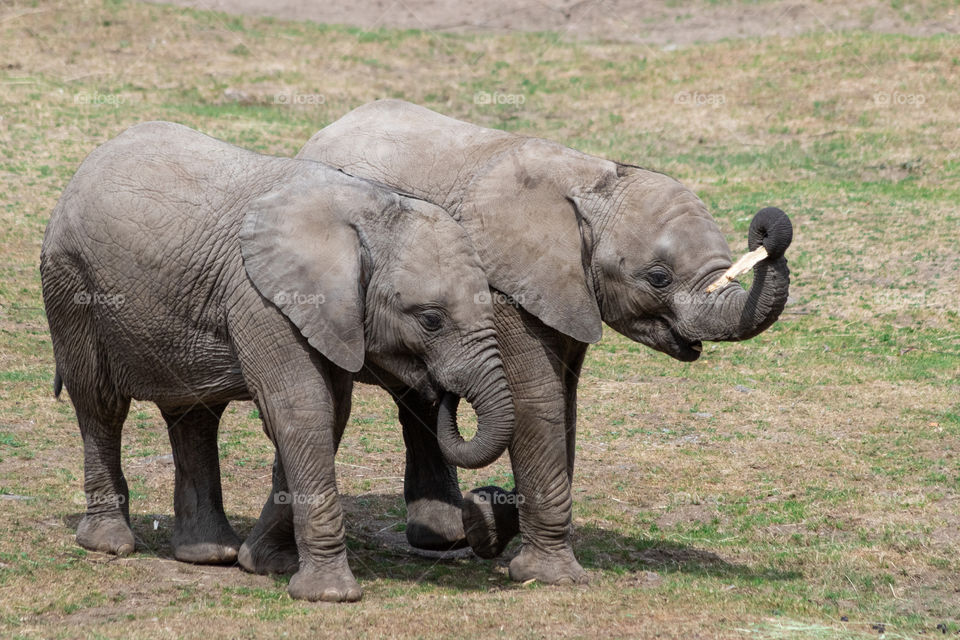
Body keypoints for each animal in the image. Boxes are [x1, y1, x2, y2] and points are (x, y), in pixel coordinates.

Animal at [40, 121, 515, 602]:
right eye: (431, 320)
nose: (441, 389)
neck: (368, 211)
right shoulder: (263, 298)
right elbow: (301, 409)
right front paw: (329, 595)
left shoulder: (328, 316)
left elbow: (329, 414)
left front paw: (264, 564)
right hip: (71, 285)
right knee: (100, 405)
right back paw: (110, 543)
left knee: (194, 416)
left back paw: (209, 554)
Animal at [240, 100, 794, 585]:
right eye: (658, 277)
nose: (767, 227)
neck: (589, 178)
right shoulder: (505, 287)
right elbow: (535, 401)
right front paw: (545, 573)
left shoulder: (567, 290)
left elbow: (564, 406)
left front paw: (488, 520)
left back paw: (445, 535)